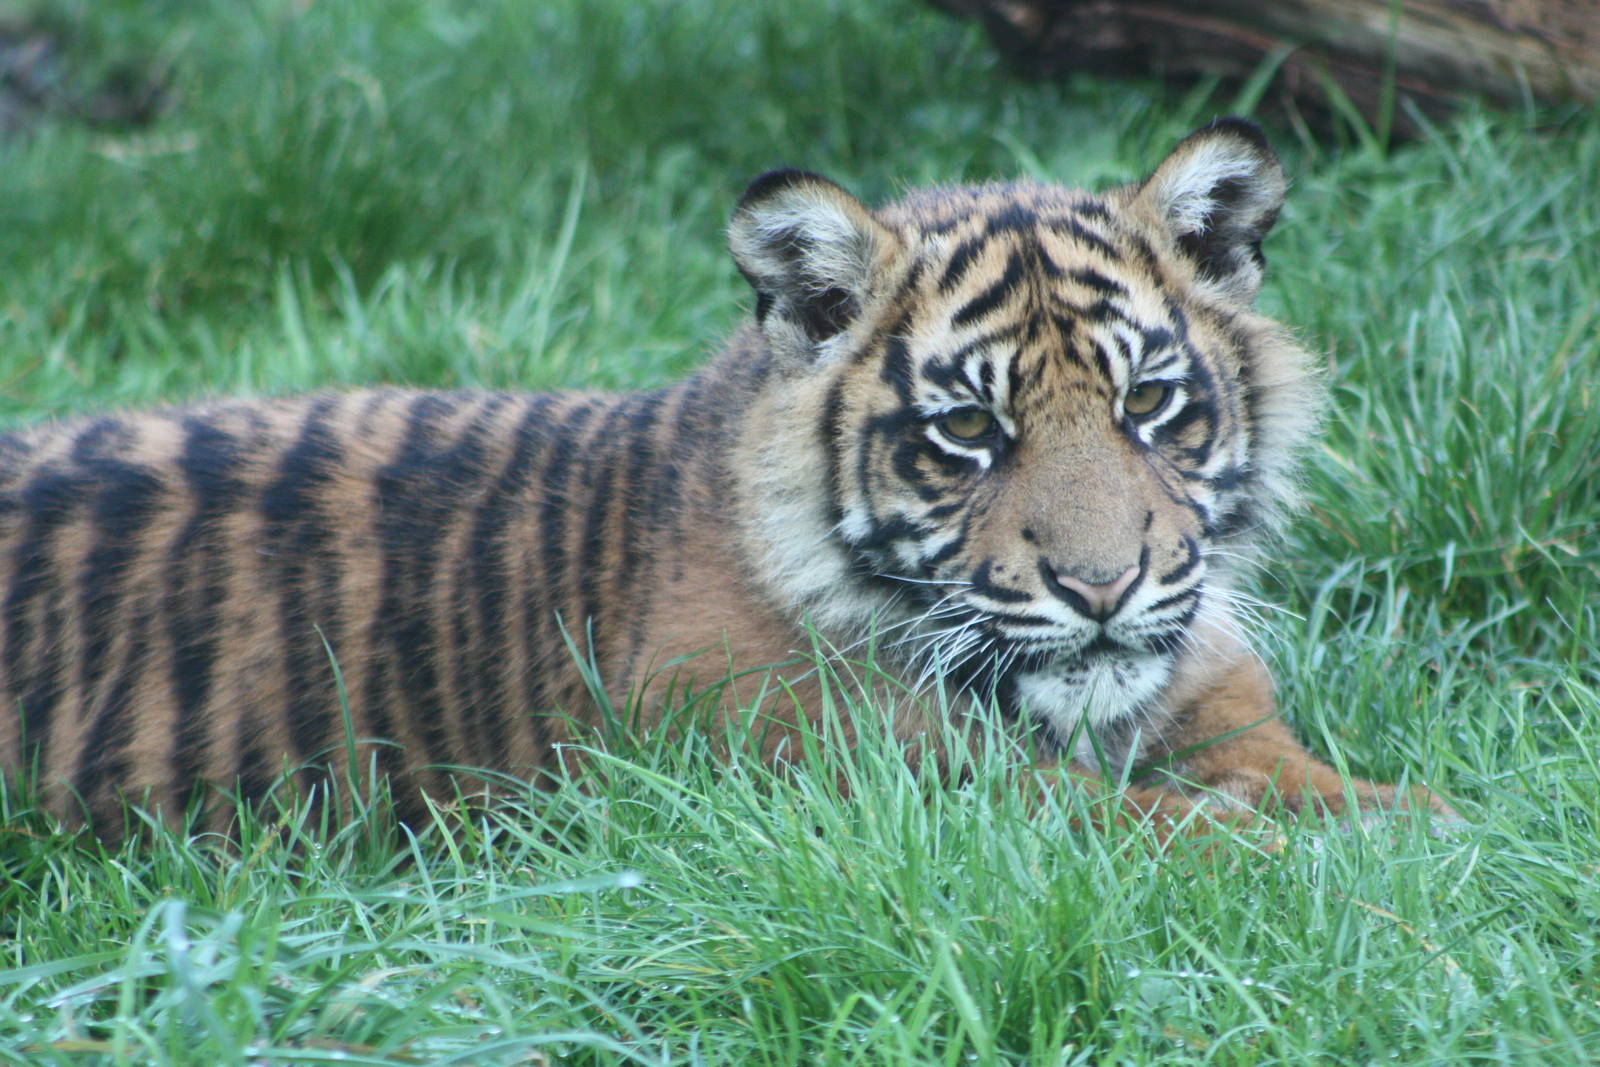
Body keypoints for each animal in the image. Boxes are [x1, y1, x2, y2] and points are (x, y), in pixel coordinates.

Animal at [0, 119, 1448, 839]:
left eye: (1148, 403)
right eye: (969, 431)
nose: (1102, 588)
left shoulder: (1215, 703)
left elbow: (1311, 774)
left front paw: (1420, 820)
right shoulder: (875, 776)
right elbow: (1161, 829)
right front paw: (1325, 864)